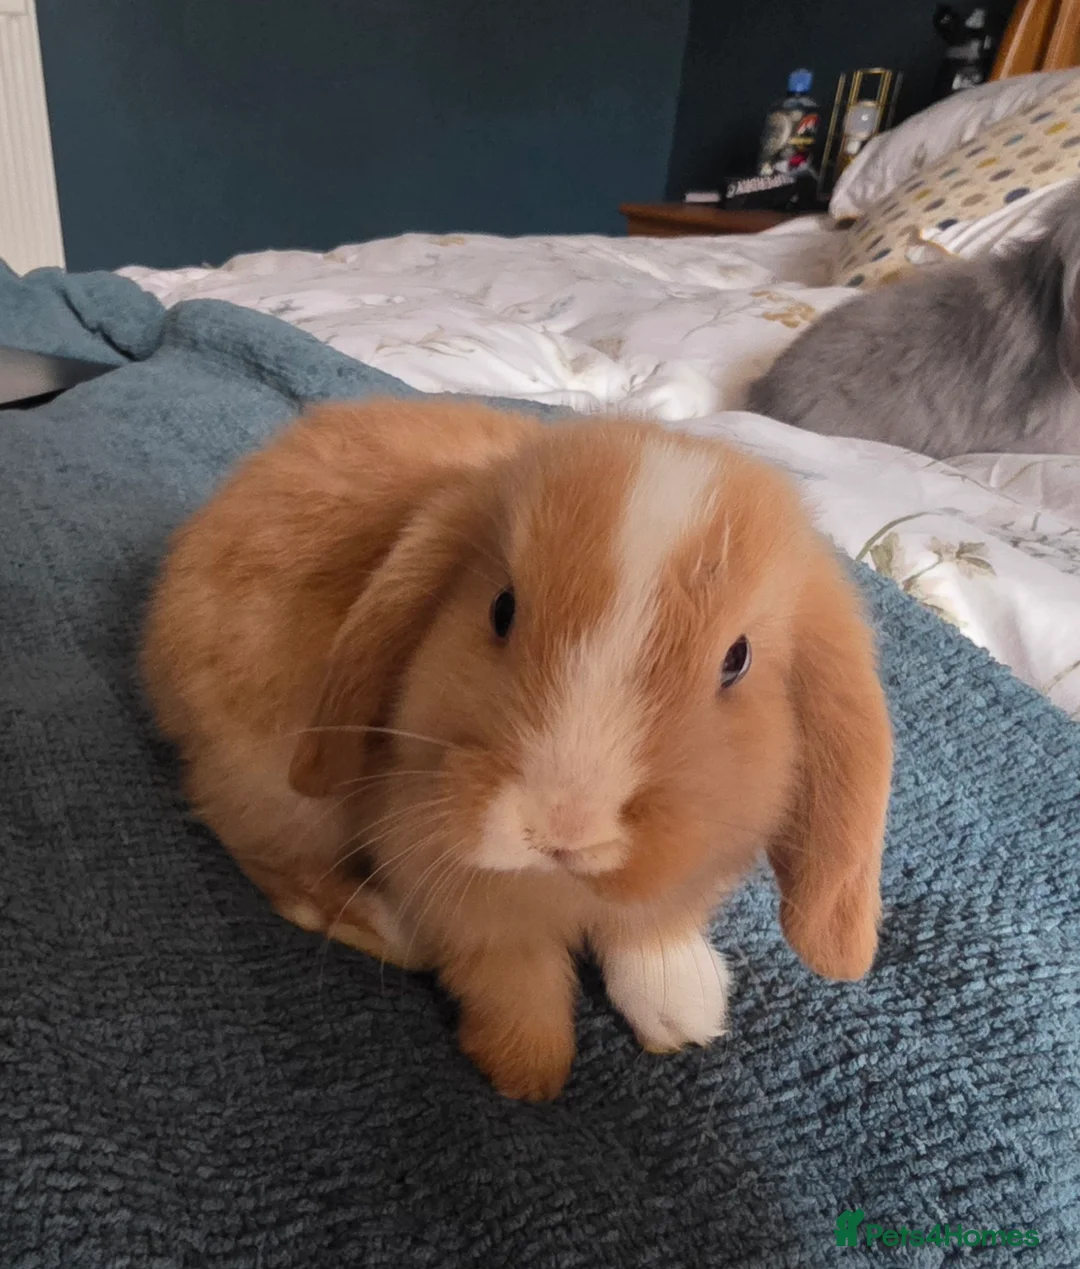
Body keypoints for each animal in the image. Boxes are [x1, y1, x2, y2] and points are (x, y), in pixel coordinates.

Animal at [141, 397, 893, 1101]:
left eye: (737, 660)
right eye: (501, 608)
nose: (562, 824)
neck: (558, 882)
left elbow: (646, 927)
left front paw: (681, 1010)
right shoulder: (438, 860)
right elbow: (510, 971)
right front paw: (526, 1069)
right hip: (276, 786)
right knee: (268, 858)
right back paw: (398, 931)